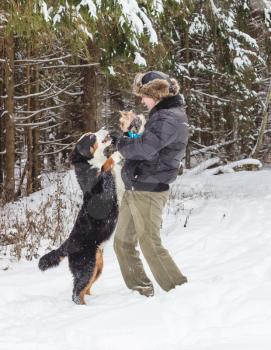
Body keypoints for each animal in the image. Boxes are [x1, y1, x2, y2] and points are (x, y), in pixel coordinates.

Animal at [38, 130, 119, 304]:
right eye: (91, 137)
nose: (106, 129)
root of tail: (67, 244)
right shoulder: (102, 188)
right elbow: (106, 165)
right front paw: (116, 154)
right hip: (86, 266)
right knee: (77, 293)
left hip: (97, 267)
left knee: (85, 290)